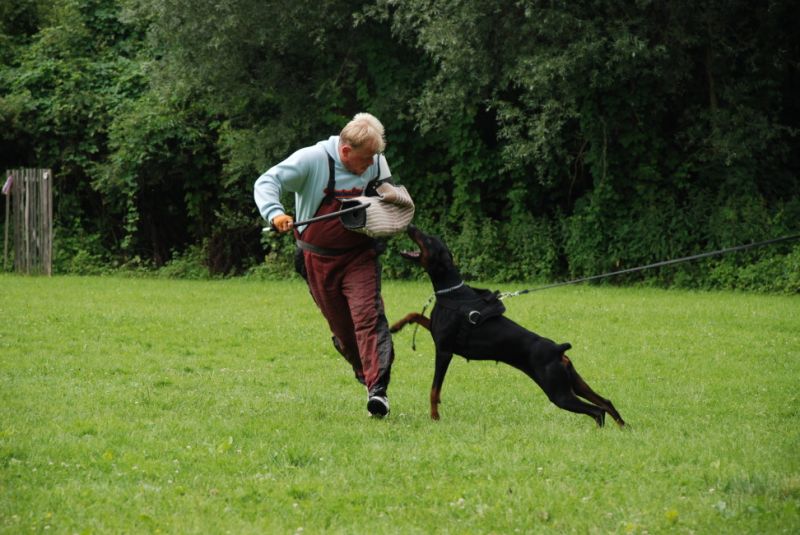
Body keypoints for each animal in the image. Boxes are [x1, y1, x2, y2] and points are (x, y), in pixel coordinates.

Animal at [390, 225, 625, 426]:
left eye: (429, 239)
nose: (410, 225)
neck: (451, 292)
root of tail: (558, 349)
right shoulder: (436, 330)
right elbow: (415, 315)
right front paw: (395, 326)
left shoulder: (444, 350)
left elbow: (434, 390)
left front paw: (435, 417)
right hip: (573, 383)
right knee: (606, 402)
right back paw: (625, 428)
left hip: (559, 393)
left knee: (597, 410)